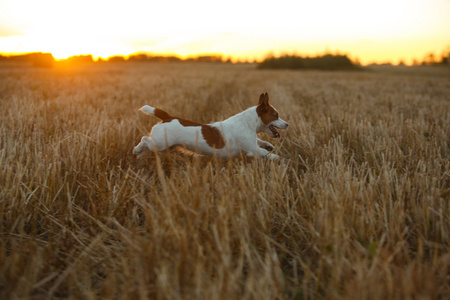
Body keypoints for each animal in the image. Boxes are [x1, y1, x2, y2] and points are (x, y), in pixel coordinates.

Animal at [133, 92, 288, 159]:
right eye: (276, 115)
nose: (287, 124)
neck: (248, 122)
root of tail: (168, 116)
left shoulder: (254, 143)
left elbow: (262, 142)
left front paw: (269, 145)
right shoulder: (253, 149)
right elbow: (268, 154)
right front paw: (280, 160)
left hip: (167, 148)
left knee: (147, 145)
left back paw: (141, 155)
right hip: (160, 143)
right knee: (145, 140)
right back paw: (137, 150)